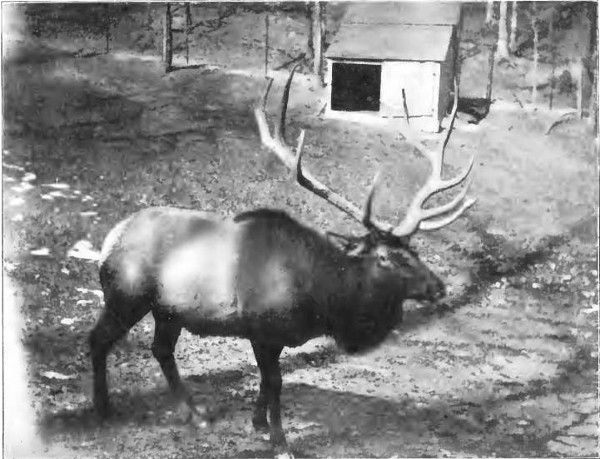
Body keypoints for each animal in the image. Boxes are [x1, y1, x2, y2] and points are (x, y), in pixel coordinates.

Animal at [88, 65, 474, 459]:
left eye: (414, 250)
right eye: (385, 257)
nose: (439, 286)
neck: (324, 302)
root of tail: (110, 238)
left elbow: (264, 381)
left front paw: (258, 422)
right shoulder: (263, 328)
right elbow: (274, 381)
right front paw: (279, 440)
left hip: (169, 310)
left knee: (161, 349)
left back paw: (194, 412)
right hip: (126, 295)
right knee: (98, 339)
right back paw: (104, 408)